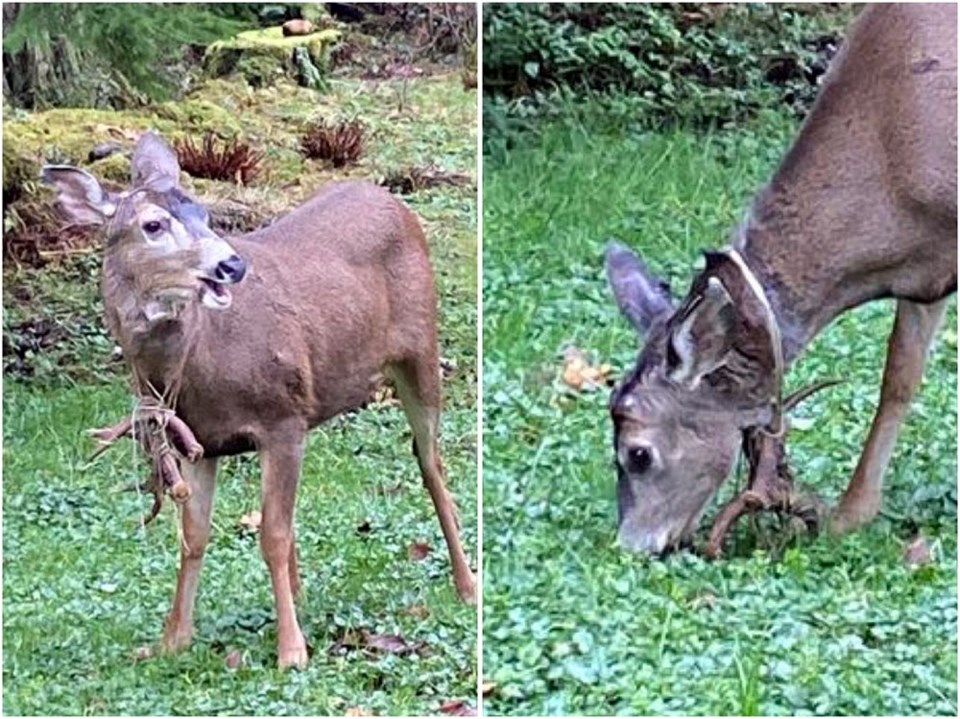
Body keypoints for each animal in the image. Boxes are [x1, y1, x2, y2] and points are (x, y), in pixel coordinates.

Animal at [43, 134, 478, 668]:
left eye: (204, 212)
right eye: (153, 224)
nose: (231, 265)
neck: (195, 362)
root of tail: (391, 199)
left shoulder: (281, 417)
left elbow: (270, 534)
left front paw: (291, 651)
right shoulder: (198, 442)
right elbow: (193, 536)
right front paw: (171, 639)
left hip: (421, 349)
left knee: (431, 463)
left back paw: (467, 585)